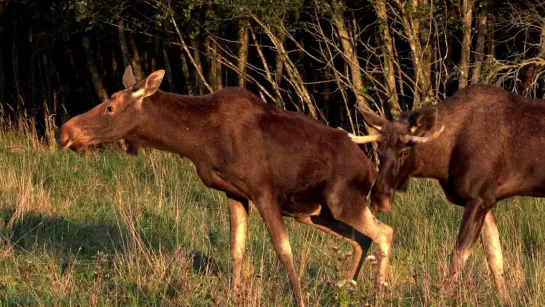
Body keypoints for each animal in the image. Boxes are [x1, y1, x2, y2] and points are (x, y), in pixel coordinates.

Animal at [57, 65, 394, 306]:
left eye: (110, 108)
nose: (64, 132)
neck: (199, 142)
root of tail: (369, 167)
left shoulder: (263, 190)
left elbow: (284, 250)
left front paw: (299, 300)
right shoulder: (234, 192)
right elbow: (236, 249)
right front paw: (235, 293)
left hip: (341, 200)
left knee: (384, 232)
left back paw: (377, 295)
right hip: (313, 212)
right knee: (361, 239)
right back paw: (348, 287)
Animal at [346, 84, 544, 298]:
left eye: (405, 151)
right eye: (379, 151)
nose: (379, 198)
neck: (443, 164)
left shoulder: (479, 197)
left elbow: (458, 256)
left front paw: (443, 297)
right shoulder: (487, 200)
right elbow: (495, 259)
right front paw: (504, 298)